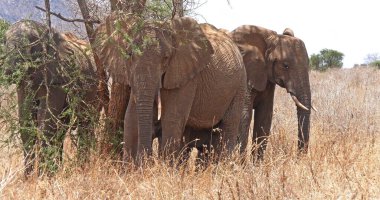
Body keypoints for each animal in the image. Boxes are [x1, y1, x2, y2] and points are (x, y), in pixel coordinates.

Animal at [2, 19, 98, 177]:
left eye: (32, 41)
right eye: (4, 41)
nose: (8, 72)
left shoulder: (58, 75)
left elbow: (46, 121)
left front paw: (42, 177)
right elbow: (26, 121)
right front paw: (29, 178)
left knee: (85, 123)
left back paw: (83, 168)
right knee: (61, 129)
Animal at [95, 13, 246, 161]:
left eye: (166, 58)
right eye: (130, 54)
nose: (146, 159)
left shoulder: (186, 74)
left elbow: (172, 117)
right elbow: (131, 116)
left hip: (240, 84)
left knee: (229, 126)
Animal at [229, 25, 312, 158]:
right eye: (285, 65)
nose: (298, 159)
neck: (269, 39)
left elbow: (265, 116)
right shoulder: (245, 72)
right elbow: (244, 115)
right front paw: (239, 162)